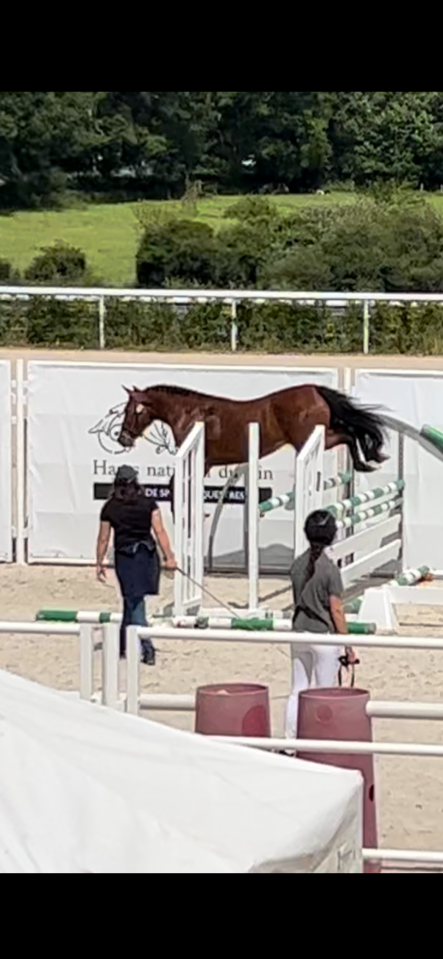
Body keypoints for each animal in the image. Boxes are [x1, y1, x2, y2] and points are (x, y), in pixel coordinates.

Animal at [117, 383, 388, 514]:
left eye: (130, 411)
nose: (123, 439)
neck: (189, 413)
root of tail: (314, 391)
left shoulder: (201, 462)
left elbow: (176, 485)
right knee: (350, 433)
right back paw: (370, 459)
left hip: (312, 438)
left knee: (349, 435)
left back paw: (366, 461)